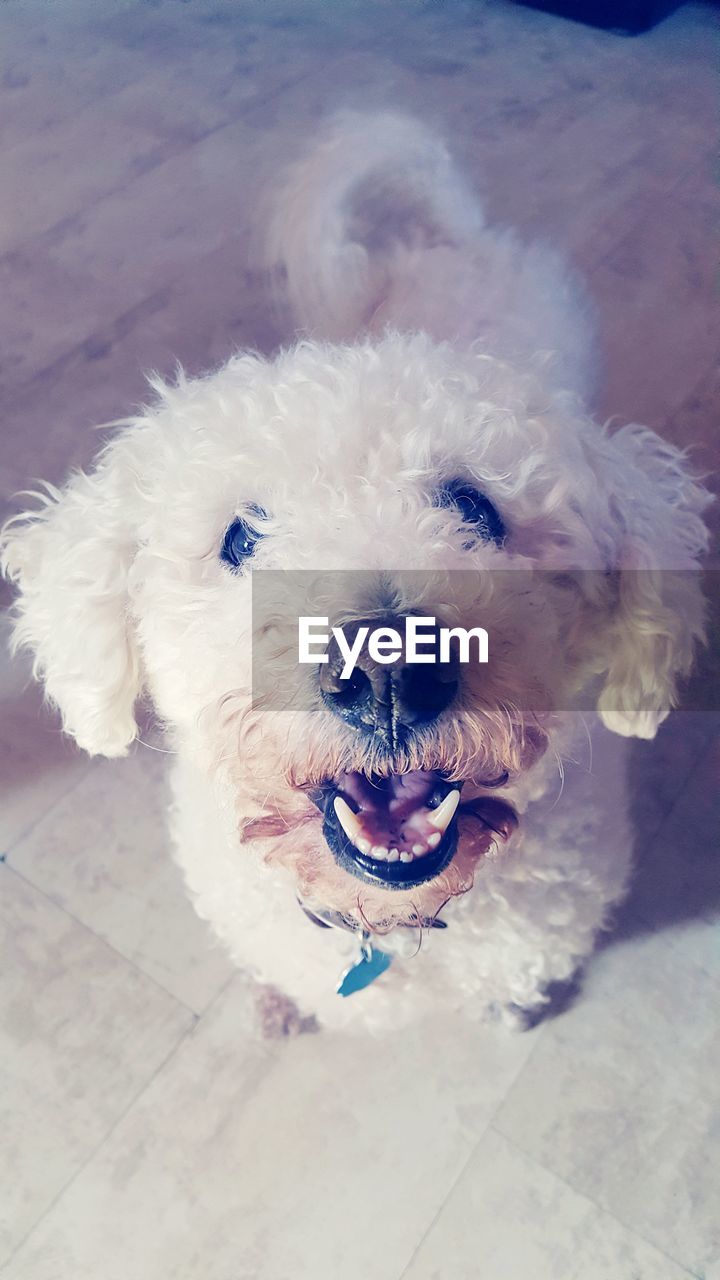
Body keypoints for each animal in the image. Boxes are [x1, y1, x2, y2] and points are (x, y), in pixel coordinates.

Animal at [1, 112, 707, 1029]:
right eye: (239, 538)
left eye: (477, 510)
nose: (388, 673)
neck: (386, 921)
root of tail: (449, 239)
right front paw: (278, 1002)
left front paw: (513, 1012)